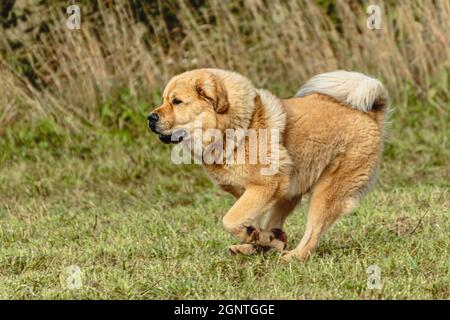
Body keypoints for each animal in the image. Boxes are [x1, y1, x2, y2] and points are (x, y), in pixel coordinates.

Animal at [147, 69, 386, 262]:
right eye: (164, 100)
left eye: (177, 102)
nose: (150, 117)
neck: (237, 128)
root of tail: (372, 114)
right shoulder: (249, 191)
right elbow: (248, 219)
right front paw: (256, 237)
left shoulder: (264, 186)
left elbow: (230, 220)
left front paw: (252, 235)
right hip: (289, 191)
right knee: (276, 225)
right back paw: (263, 243)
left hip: (324, 193)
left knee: (312, 235)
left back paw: (291, 256)